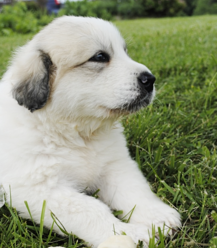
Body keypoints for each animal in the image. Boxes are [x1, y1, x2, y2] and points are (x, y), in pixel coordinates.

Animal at [0, 16, 181, 247]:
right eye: (100, 57)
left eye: (125, 51)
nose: (150, 79)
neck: (78, 134)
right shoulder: (39, 188)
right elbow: (92, 210)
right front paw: (130, 234)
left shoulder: (115, 165)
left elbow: (134, 191)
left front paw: (158, 216)